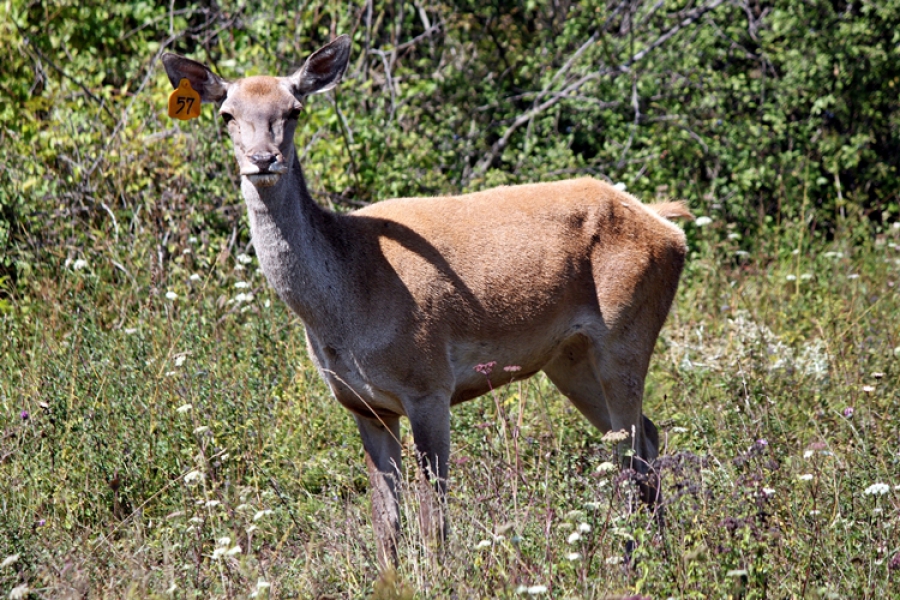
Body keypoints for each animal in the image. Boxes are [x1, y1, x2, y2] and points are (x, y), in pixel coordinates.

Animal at [162, 34, 692, 568]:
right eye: (226, 114)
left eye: (294, 110)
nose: (264, 159)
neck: (348, 304)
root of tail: (669, 227)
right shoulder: (363, 405)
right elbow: (385, 521)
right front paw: (390, 576)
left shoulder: (429, 383)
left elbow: (434, 518)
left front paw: (440, 574)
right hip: (568, 358)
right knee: (640, 437)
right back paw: (651, 553)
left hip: (627, 329)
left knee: (635, 448)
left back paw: (639, 559)